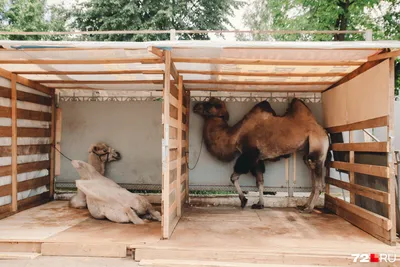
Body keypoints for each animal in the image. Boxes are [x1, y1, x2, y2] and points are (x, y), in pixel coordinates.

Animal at [193, 97, 328, 213]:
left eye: (211, 104)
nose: (195, 106)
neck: (234, 136)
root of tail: (324, 132)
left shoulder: (249, 154)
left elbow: (233, 177)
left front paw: (244, 200)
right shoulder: (257, 159)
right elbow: (260, 181)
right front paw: (260, 204)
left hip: (318, 149)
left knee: (318, 183)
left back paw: (309, 209)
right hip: (307, 153)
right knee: (312, 176)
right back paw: (304, 205)